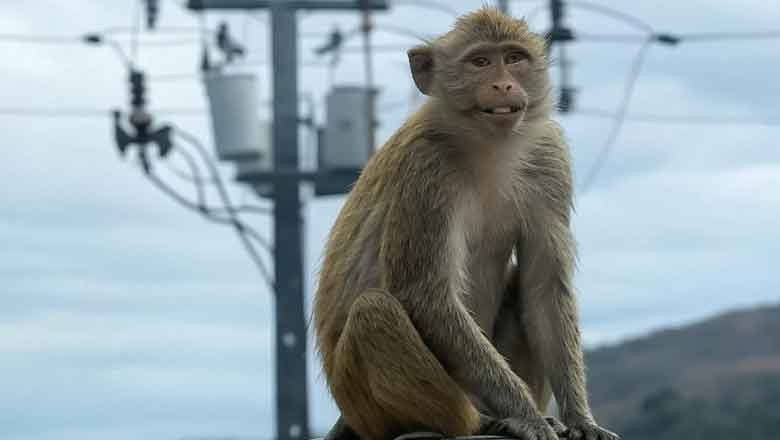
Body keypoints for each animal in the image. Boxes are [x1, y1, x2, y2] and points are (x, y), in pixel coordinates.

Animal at [313, 7, 618, 440]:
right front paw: (526, 414)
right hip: (362, 404)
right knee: (374, 312)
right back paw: (478, 421)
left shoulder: (549, 158)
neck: (487, 146)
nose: (503, 84)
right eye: (480, 61)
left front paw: (580, 418)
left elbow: (543, 289)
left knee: (519, 285)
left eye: (514, 57)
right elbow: (426, 296)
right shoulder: (426, 168)